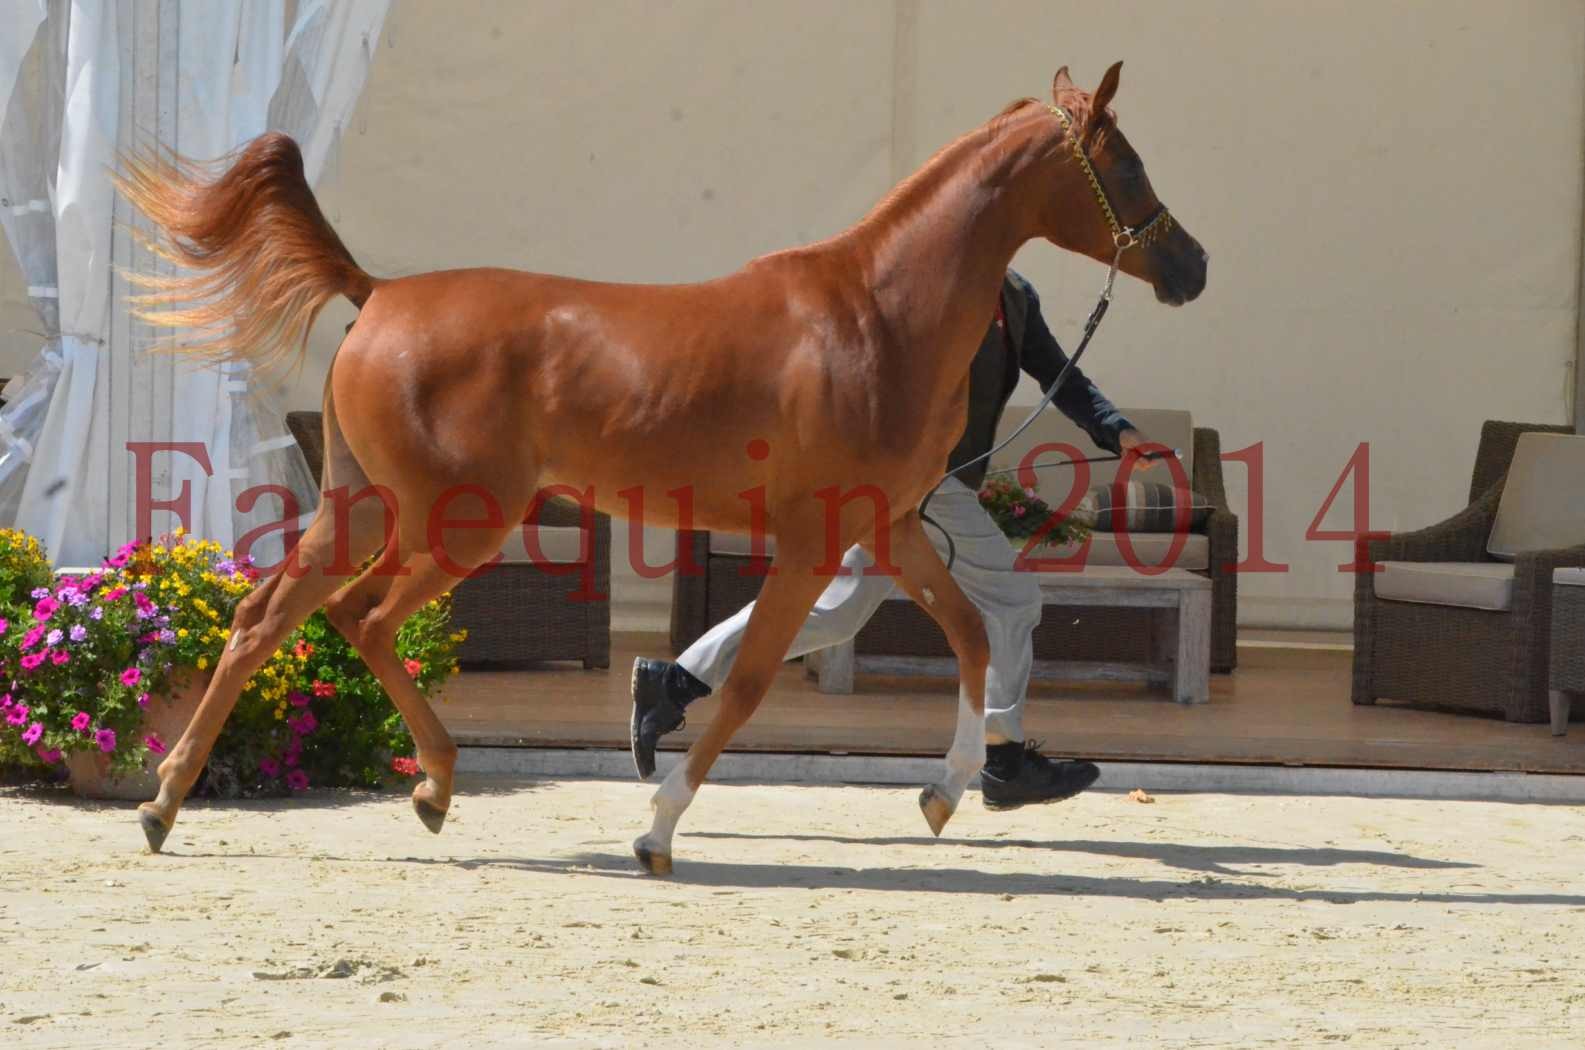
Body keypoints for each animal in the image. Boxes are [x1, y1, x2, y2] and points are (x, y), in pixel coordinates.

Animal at [120, 61, 1198, 875]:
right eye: (1126, 165)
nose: (1193, 266)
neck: (876, 316)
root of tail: (376, 292)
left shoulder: (887, 526)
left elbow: (971, 635)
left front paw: (941, 794)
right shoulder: (813, 543)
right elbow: (752, 678)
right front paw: (657, 829)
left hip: (362, 509)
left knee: (264, 618)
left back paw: (170, 804)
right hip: (454, 521)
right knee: (364, 619)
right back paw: (428, 785)